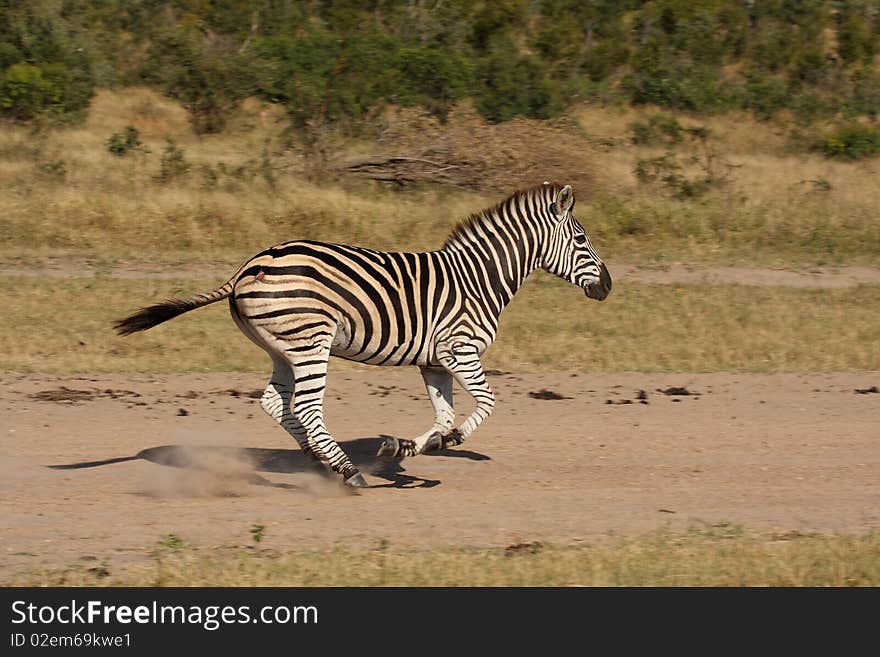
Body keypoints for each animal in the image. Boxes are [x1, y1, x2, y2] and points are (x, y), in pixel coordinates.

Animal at [115, 183, 612, 486]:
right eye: (581, 239)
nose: (607, 287)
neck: (478, 279)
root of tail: (248, 266)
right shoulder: (459, 349)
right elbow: (487, 404)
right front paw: (448, 443)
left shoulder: (434, 362)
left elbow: (443, 416)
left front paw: (406, 447)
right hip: (311, 341)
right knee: (306, 407)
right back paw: (346, 469)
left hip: (282, 349)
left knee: (276, 403)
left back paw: (323, 462)